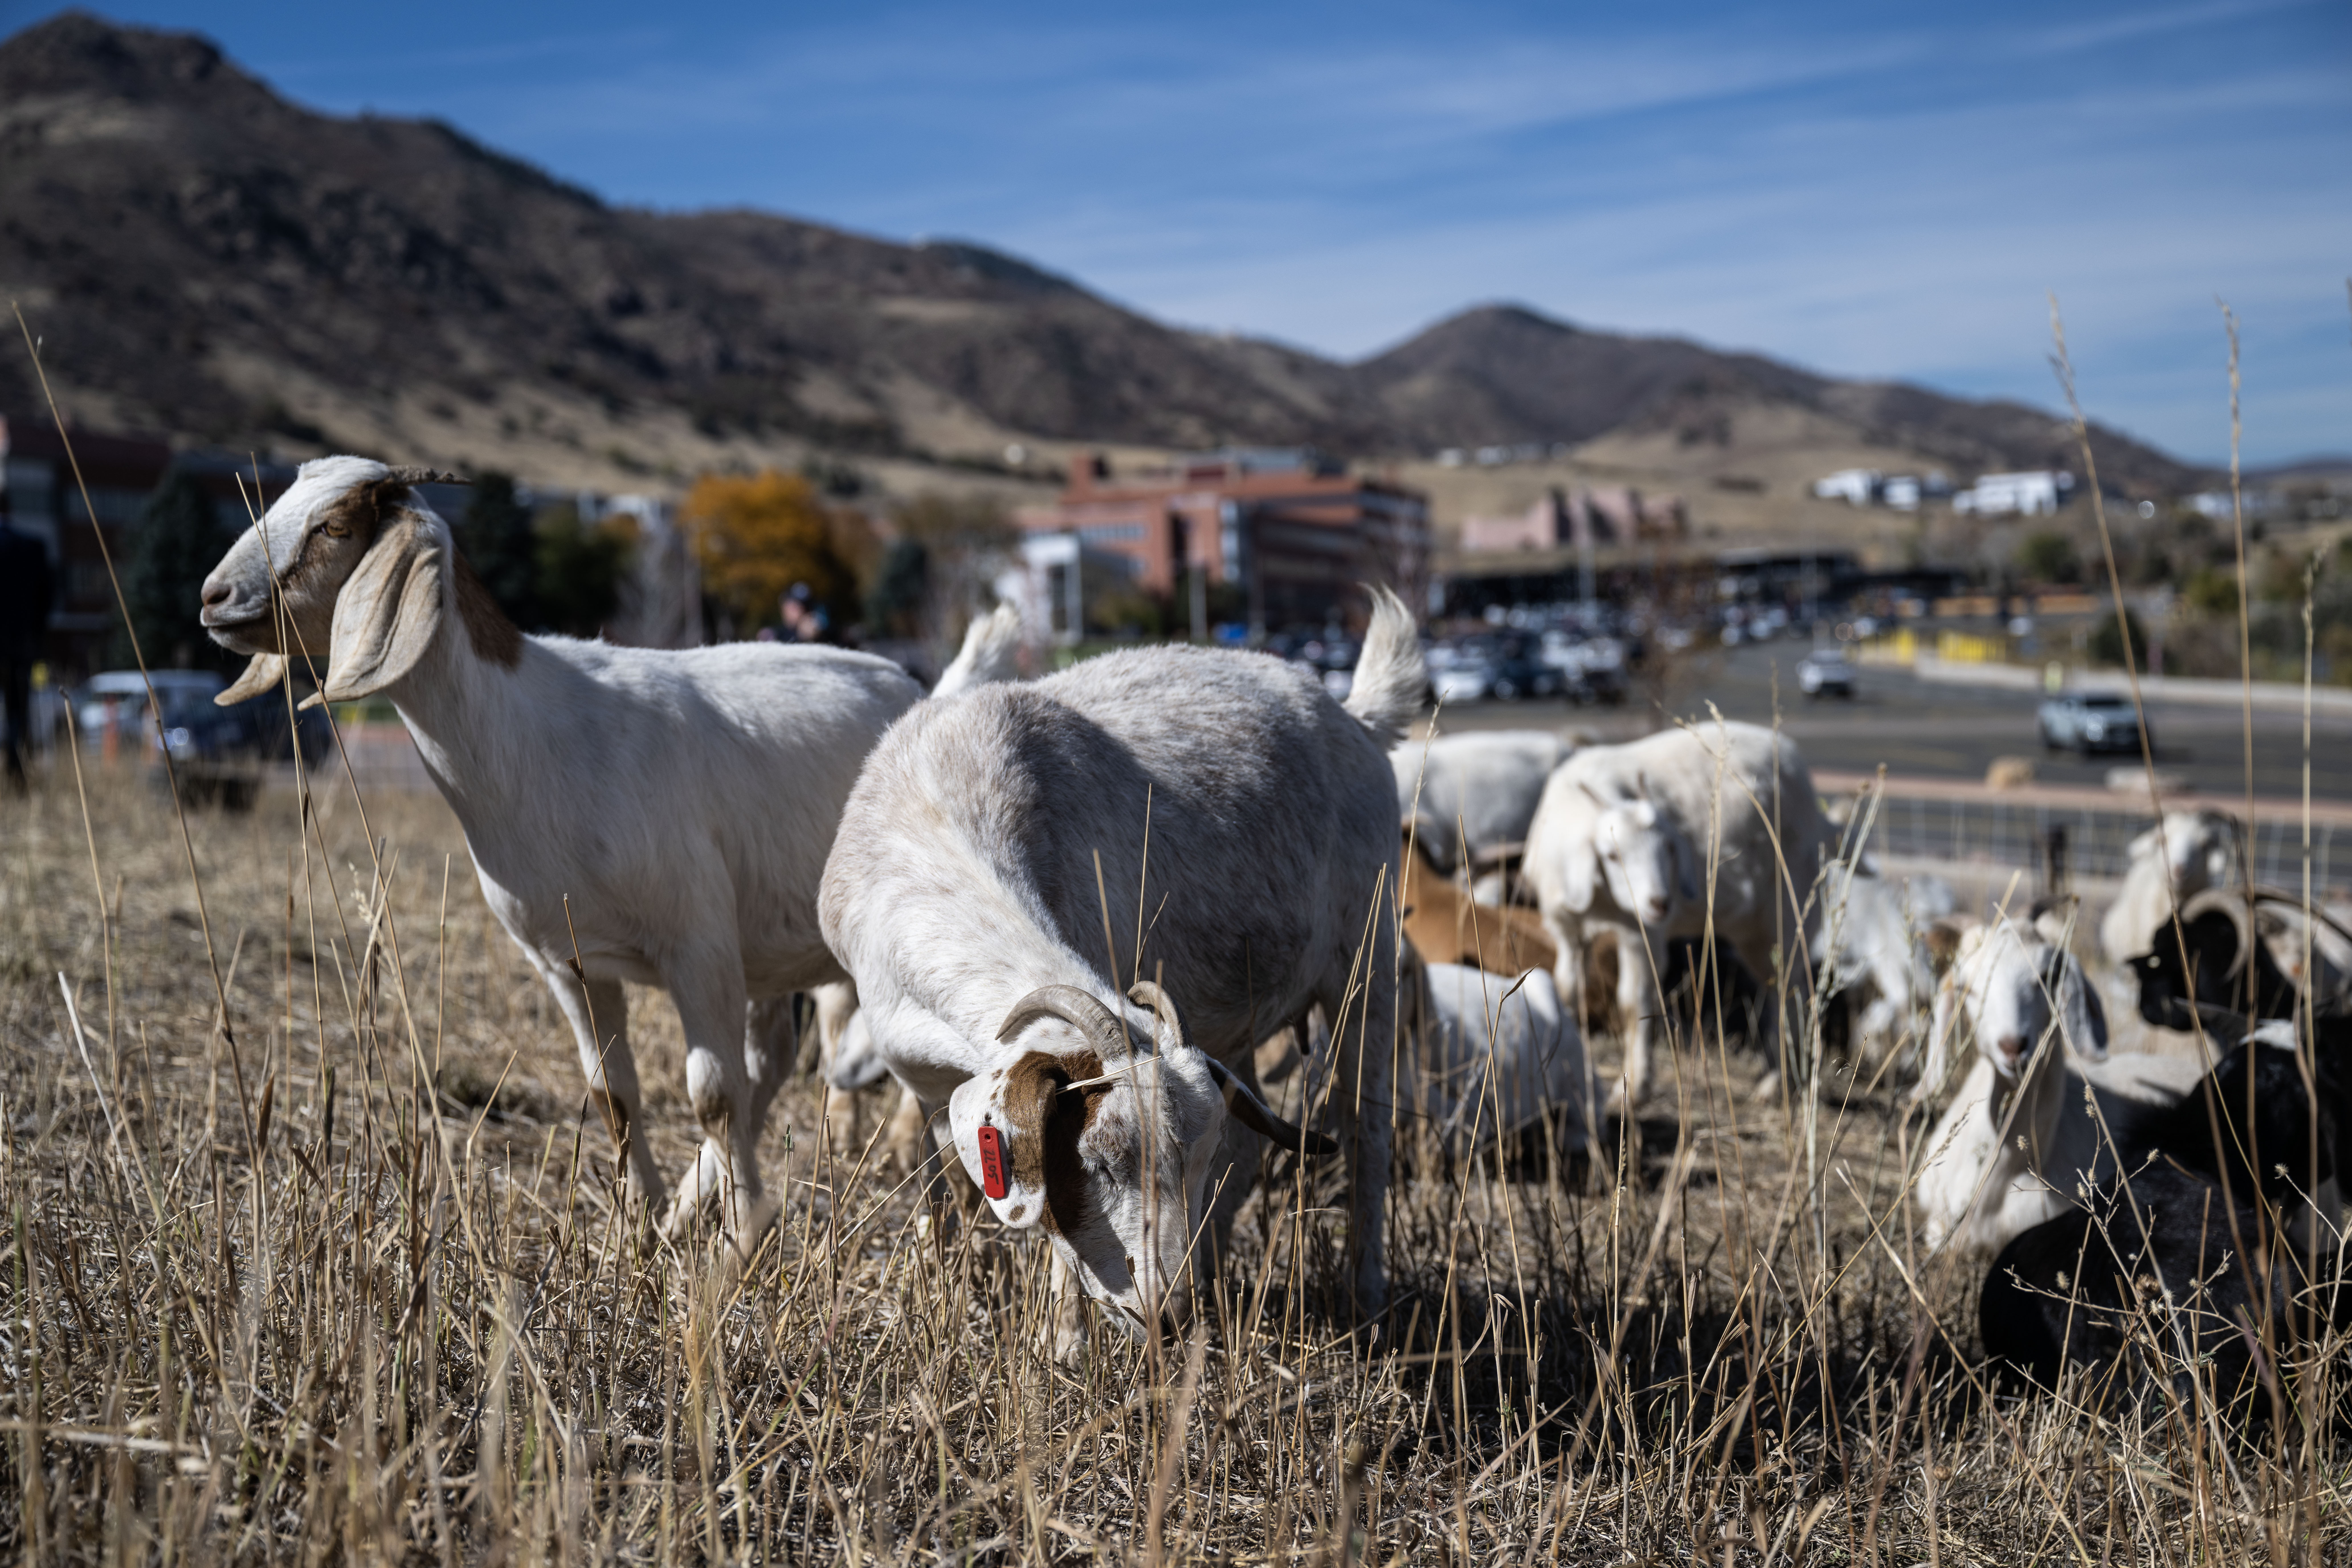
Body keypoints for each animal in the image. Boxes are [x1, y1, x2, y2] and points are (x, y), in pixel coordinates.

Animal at [198, 456, 1020, 1247]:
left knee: (901, 1071)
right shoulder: (570, 963)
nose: (214, 597)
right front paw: (646, 1230)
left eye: (334, 526)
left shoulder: (697, 946)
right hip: (769, 943)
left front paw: (739, 1244)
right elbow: (614, 1096)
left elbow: (712, 1096)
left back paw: (934, 1223)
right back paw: (704, 1207)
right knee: (775, 1063)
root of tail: (920, 687)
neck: (530, 735)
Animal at [818, 587, 1425, 1338]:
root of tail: (1356, 714)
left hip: (1366, 962)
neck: (931, 822)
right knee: (1254, 1147)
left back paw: (1366, 1298)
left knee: (1369, 1131)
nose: (1167, 1315)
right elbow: (940, 1194)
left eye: (1187, 1166)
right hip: (1239, 1017)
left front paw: (1062, 1344)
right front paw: (948, 1296)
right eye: (1097, 1161)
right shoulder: (926, 1084)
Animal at [1522, 719, 1828, 1108]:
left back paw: (1780, 1083)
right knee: (1775, 984)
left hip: (1788, 908)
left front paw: (1634, 1089)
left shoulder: (1641, 932)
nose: (1660, 902)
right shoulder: (1566, 928)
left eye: (1669, 847)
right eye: (1611, 854)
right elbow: (1568, 991)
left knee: (1791, 986)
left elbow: (1632, 1003)